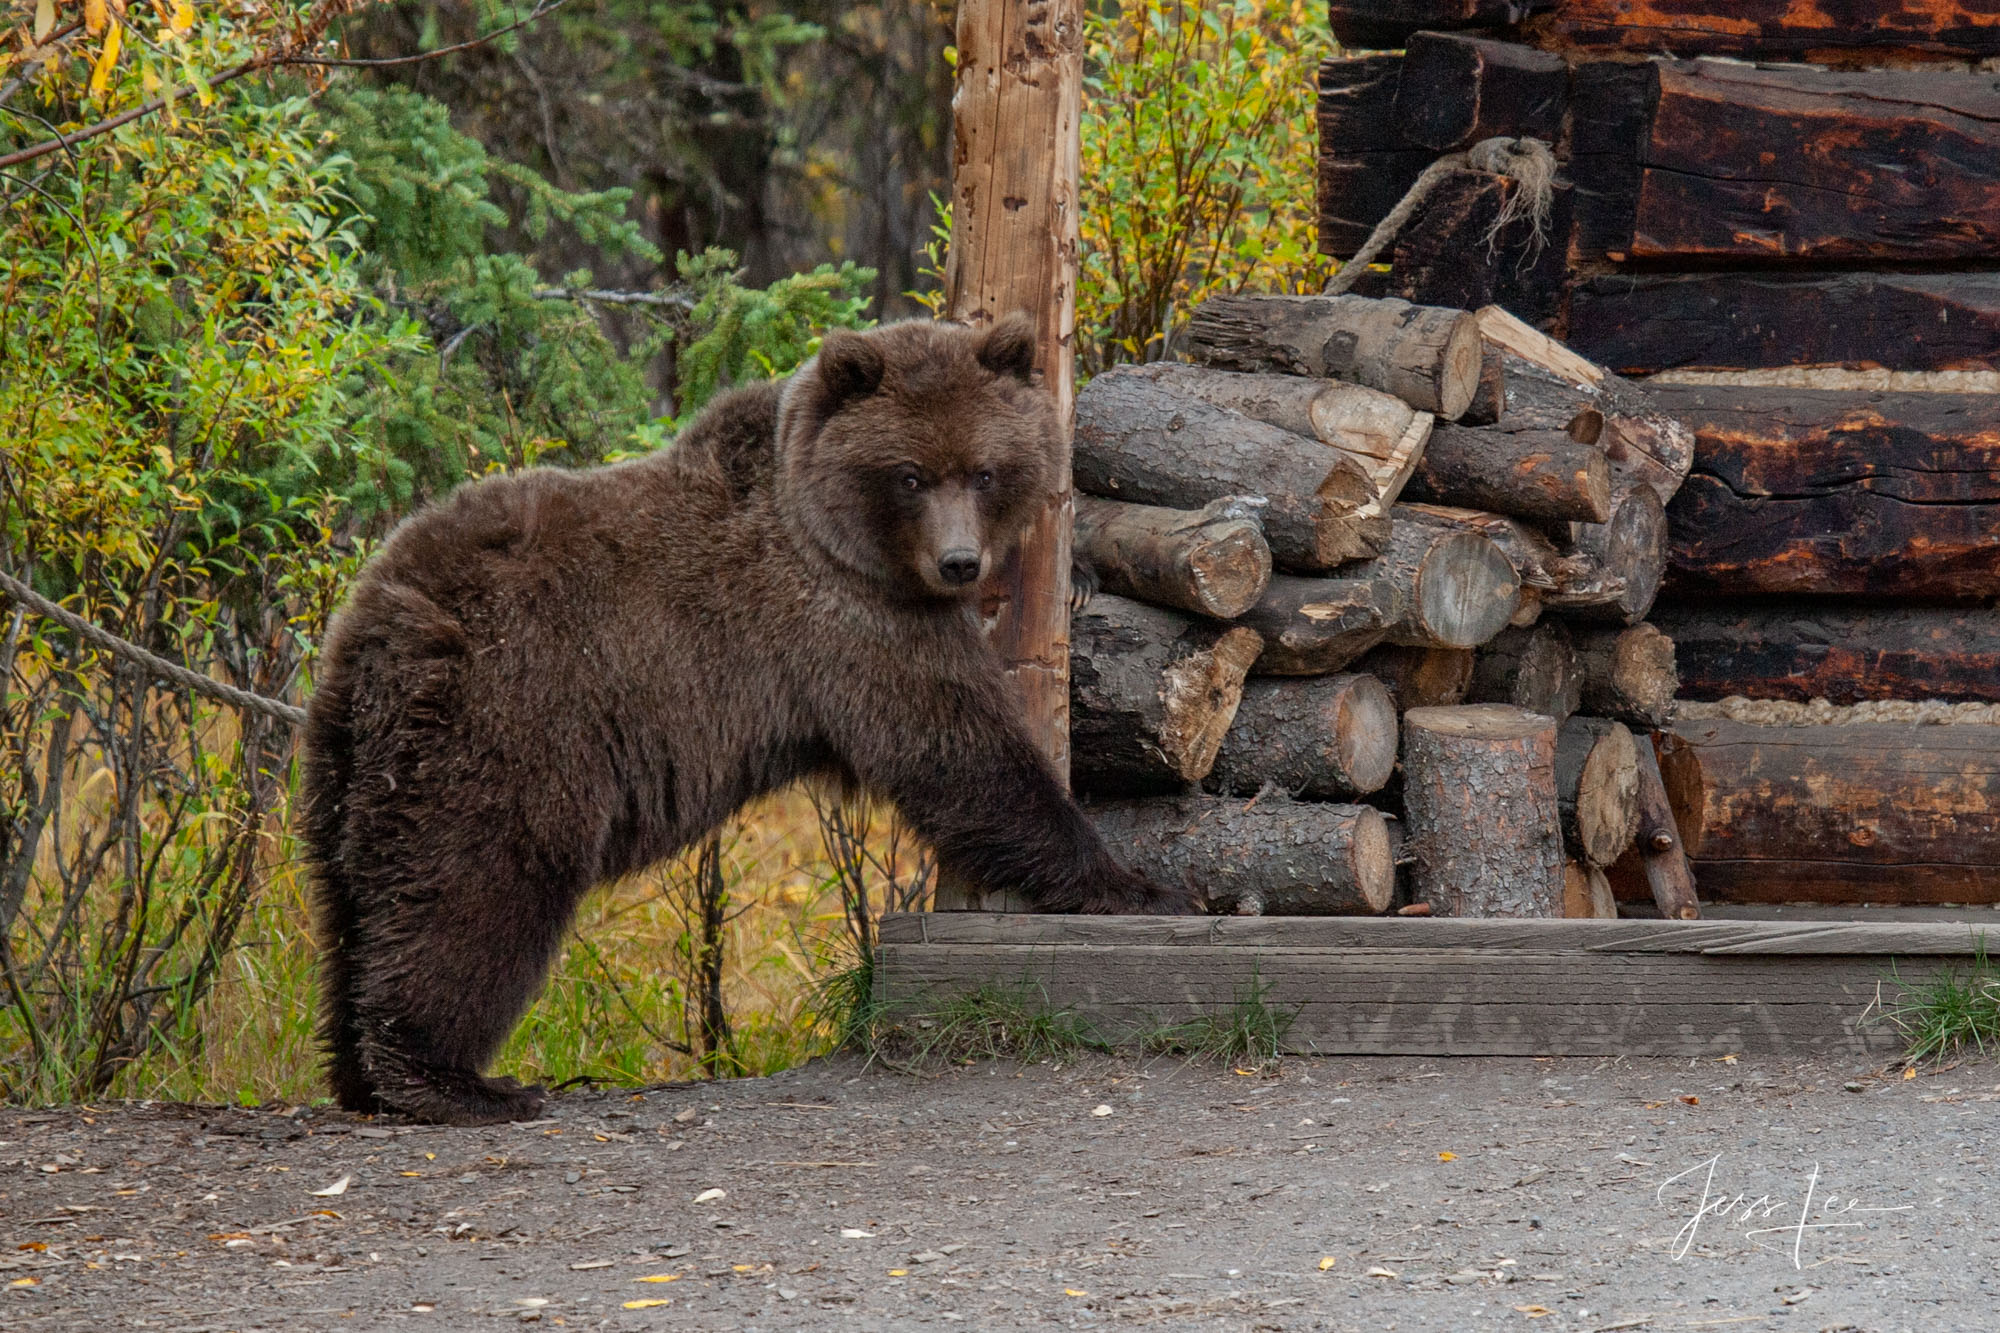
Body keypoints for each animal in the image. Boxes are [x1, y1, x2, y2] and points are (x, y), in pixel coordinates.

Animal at [300, 314, 1184, 1120]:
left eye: (985, 470)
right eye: (909, 474)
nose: (960, 562)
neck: (839, 530)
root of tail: (378, 619)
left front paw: (1083, 577)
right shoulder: (852, 622)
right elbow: (963, 753)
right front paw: (1137, 885)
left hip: (352, 761)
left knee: (357, 899)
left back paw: (357, 1069)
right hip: (510, 723)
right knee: (475, 886)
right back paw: (456, 1081)